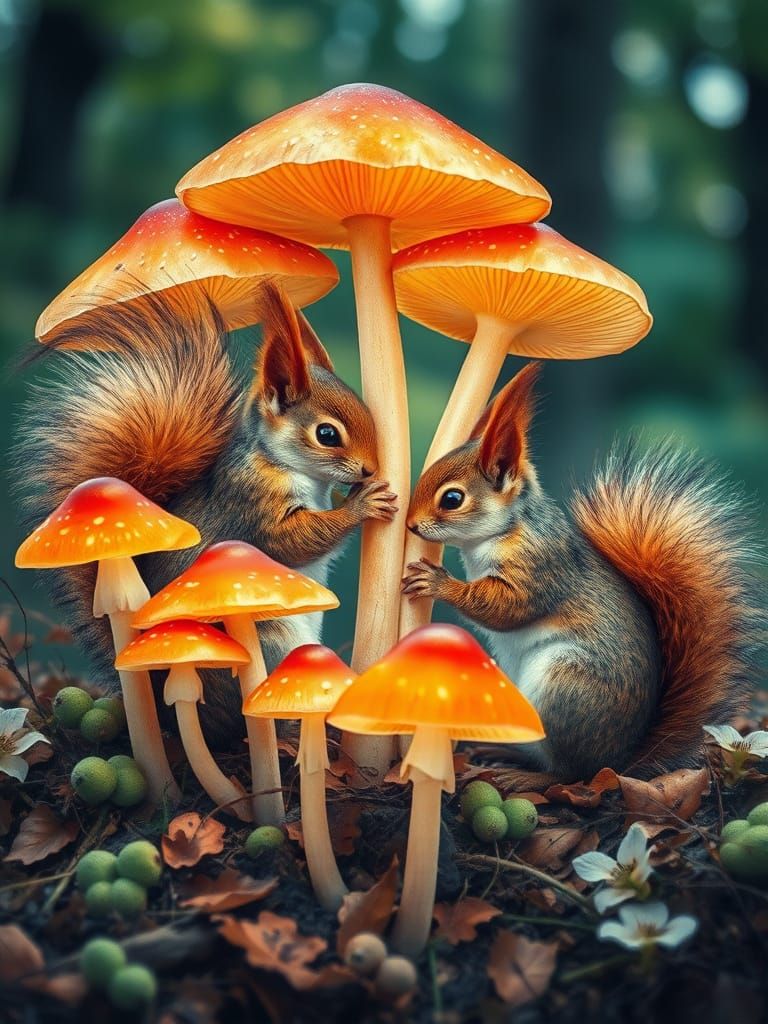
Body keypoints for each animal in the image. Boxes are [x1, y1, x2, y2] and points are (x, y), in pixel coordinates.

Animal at [17, 283, 397, 744]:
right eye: (327, 434)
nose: (369, 470)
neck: (282, 464)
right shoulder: (250, 505)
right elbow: (292, 541)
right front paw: (362, 503)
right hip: (269, 645)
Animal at [403, 361, 765, 783]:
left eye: (452, 498)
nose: (411, 525)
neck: (505, 530)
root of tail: (618, 760)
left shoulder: (541, 565)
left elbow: (507, 607)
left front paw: (437, 581)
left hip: (564, 689)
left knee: (567, 771)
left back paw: (529, 776)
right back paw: (501, 751)